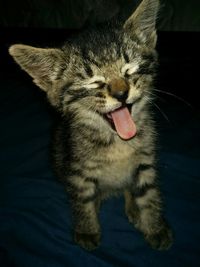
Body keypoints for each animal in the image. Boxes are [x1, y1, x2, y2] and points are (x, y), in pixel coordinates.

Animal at [8, 0, 173, 251]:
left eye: (129, 70)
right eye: (94, 82)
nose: (121, 94)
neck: (116, 142)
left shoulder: (146, 161)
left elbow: (149, 194)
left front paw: (154, 226)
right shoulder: (77, 169)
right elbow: (82, 199)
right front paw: (87, 227)